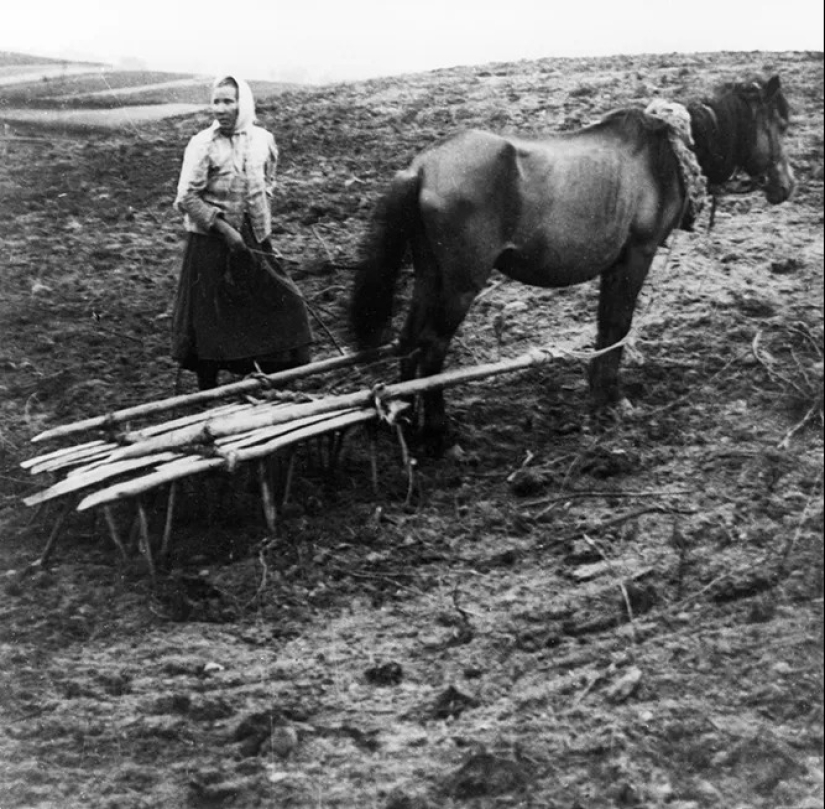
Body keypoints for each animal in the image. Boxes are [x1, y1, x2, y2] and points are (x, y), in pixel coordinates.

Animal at [350, 75, 796, 448]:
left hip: (430, 274)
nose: (787, 186)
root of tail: (422, 168)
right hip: (461, 284)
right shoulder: (638, 254)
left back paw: (409, 422)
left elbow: (606, 326)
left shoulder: (616, 263)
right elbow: (619, 324)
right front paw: (612, 398)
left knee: (409, 341)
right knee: (432, 347)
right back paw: (440, 436)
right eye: (781, 125)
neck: (665, 154)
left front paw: (599, 394)